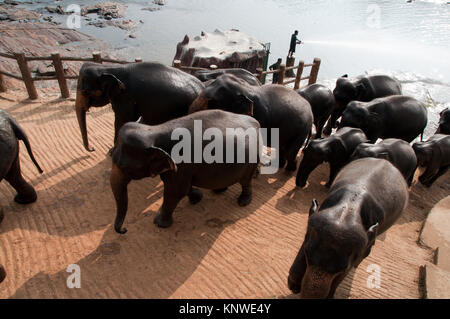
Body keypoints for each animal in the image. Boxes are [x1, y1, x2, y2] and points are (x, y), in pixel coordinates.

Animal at [75, 62, 204, 154]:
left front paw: (111, 152)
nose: (92, 148)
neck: (108, 67)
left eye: (85, 92)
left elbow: (121, 121)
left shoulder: (125, 97)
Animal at [109, 109, 262, 234]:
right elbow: (183, 187)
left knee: (246, 180)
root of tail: (255, 122)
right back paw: (219, 190)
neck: (154, 130)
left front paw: (159, 223)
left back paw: (243, 202)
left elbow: (175, 191)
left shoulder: (182, 163)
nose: (124, 229)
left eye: (126, 168)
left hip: (252, 160)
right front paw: (197, 198)